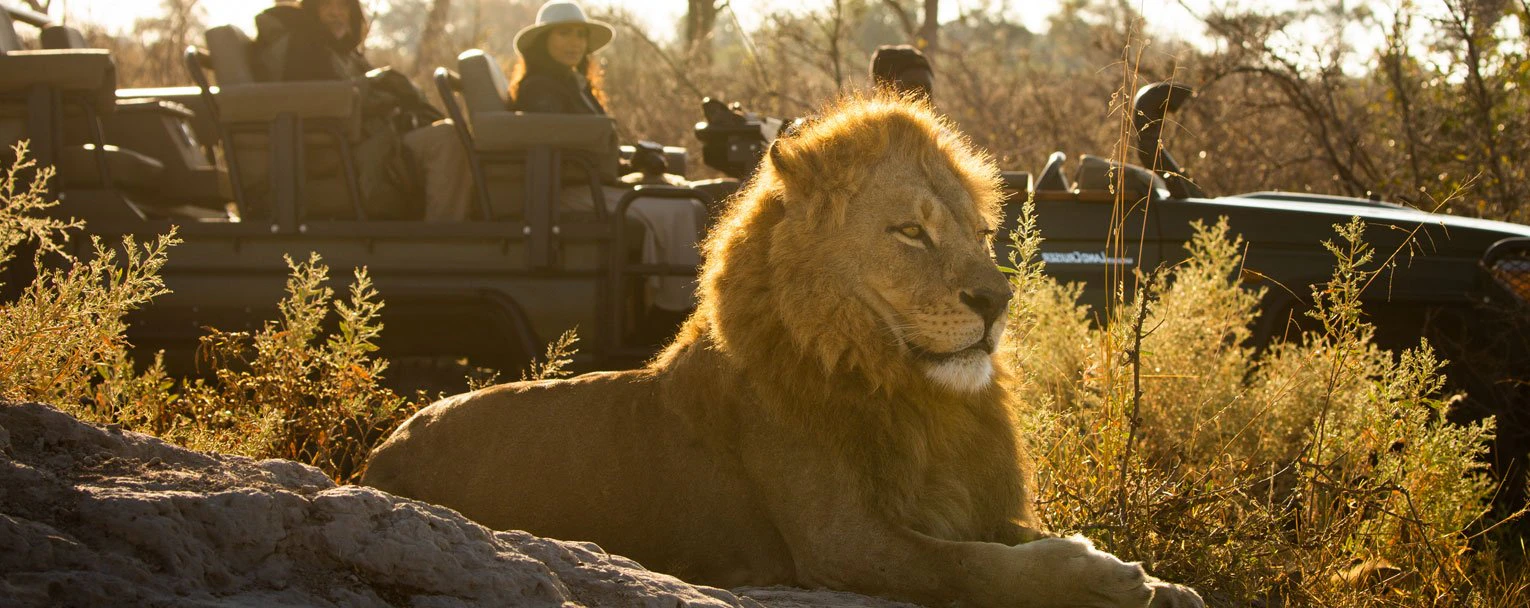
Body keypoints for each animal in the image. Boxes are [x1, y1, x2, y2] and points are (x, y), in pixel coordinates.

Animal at [363, 95, 1204, 608]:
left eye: (983, 234)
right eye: (911, 231)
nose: (999, 303)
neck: (903, 387)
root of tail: (379, 453)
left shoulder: (960, 501)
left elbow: (1014, 542)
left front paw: (1161, 585)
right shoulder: (841, 543)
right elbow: (977, 568)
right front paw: (1104, 581)